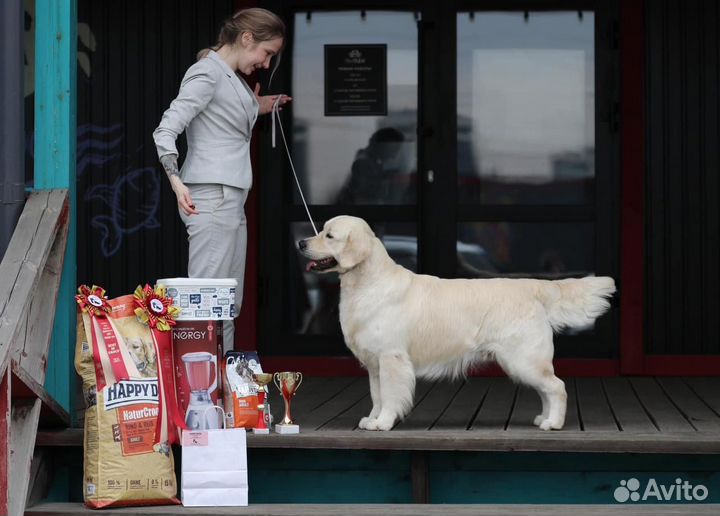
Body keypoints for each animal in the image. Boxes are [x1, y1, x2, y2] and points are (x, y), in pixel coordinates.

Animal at [298, 216, 612, 430]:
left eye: (329, 235)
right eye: (321, 230)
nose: (300, 242)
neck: (367, 284)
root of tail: (532, 286)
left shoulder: (391, 358)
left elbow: (389, 396)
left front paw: (384, 423)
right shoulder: (375, 364)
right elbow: (377, 396)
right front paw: (372, 419)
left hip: (523, 359)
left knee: (557, 387)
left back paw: (553, 423)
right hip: (524, 362)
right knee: (547, 390)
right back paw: (543, 418)